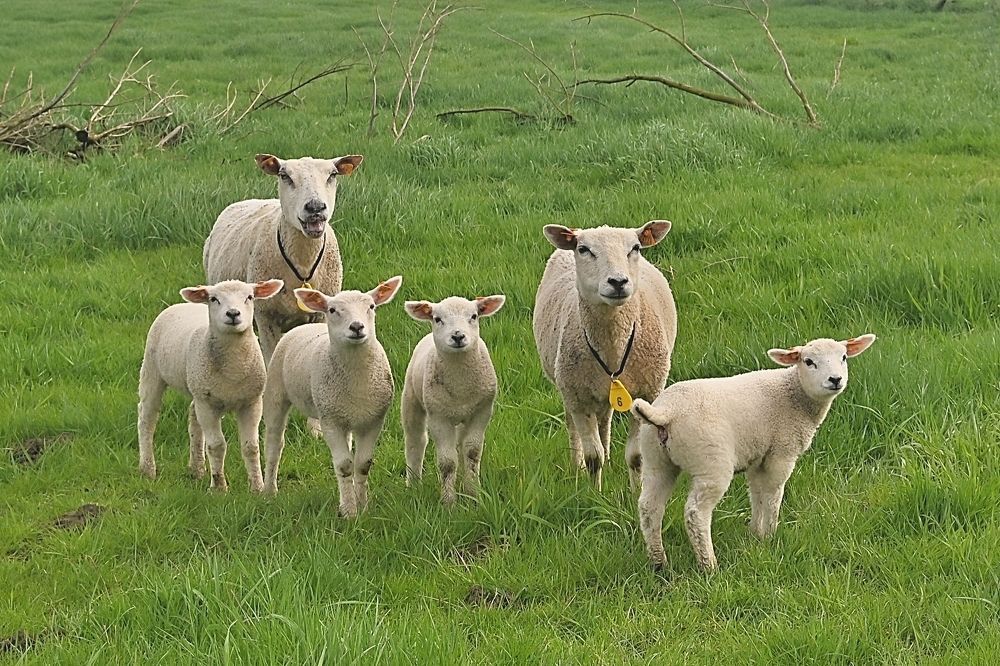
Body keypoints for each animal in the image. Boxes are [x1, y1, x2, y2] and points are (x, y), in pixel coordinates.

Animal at [137, 279, 284, 492]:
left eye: (249, 297)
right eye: (214, 299)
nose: (233, 314)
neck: (233, 370)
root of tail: (181, 305)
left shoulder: (252, 402)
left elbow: (251, 447)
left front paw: (257, 487)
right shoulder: (208, 405)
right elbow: (216, 446)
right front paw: (219, 488)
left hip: (197, 388)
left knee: (193, 418)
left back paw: (197, 469)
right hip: (152, 369)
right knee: (147, 418)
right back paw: (147, 468)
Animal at [261, 276, 402, 518]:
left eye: (371, 306)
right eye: (333, 310)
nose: (357, 327)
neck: (357, 380)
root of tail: (305, 326)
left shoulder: (373, 420)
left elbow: (362, 464)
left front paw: (362, 506)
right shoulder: (330, 421)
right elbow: (344, 466)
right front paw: (349, 512)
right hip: (276, 391)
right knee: (274, 444)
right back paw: (269, 490)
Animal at [401, 295, 506, 505]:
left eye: (474, 316)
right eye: (437, 318)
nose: (458, 336)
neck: (460, 386)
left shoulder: (482, 412)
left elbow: (472, 453)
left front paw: (473, 494)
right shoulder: (438, 418)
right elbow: (448, 463)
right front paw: (448, 502)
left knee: (460, 445)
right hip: (411, 398)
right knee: (415, 441)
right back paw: (413, 484)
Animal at [532, 221, 677, 491]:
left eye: (635, 247)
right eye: (583, 249)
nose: (618, 282)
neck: (613, 348)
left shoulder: (646, 395)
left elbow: (636, 457)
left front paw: (635, 492)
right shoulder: (578, 397)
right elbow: (593, 457)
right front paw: (594, 493)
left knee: (605, 421)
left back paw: (609, 460)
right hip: (568, 386)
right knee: (573, 427)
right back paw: (577, 465)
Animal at [631, 334, 877, 572]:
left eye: (843, 357)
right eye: (808, 362)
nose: (835, 380)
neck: (794, 394)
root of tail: (665, 412)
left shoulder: (758, 455)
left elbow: (756, 493)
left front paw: (755, 534)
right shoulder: (781, 452)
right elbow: (773, 494)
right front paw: (770, 535)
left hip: (655, 457)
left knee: (649, 508)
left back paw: (658, 562)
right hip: (710, 462)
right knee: (695, 513)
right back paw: (709, 566)